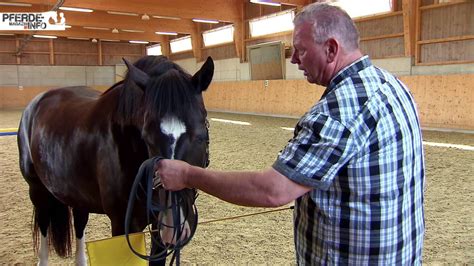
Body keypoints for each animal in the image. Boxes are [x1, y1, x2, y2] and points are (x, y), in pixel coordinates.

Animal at [16, 55, 213, 264]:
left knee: (79, 223)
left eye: (200, 136)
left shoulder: (158, 231)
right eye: (146, 138)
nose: (175, 224)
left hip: (76, 194)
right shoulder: (123, 226)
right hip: (38, 191)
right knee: (44, 224)